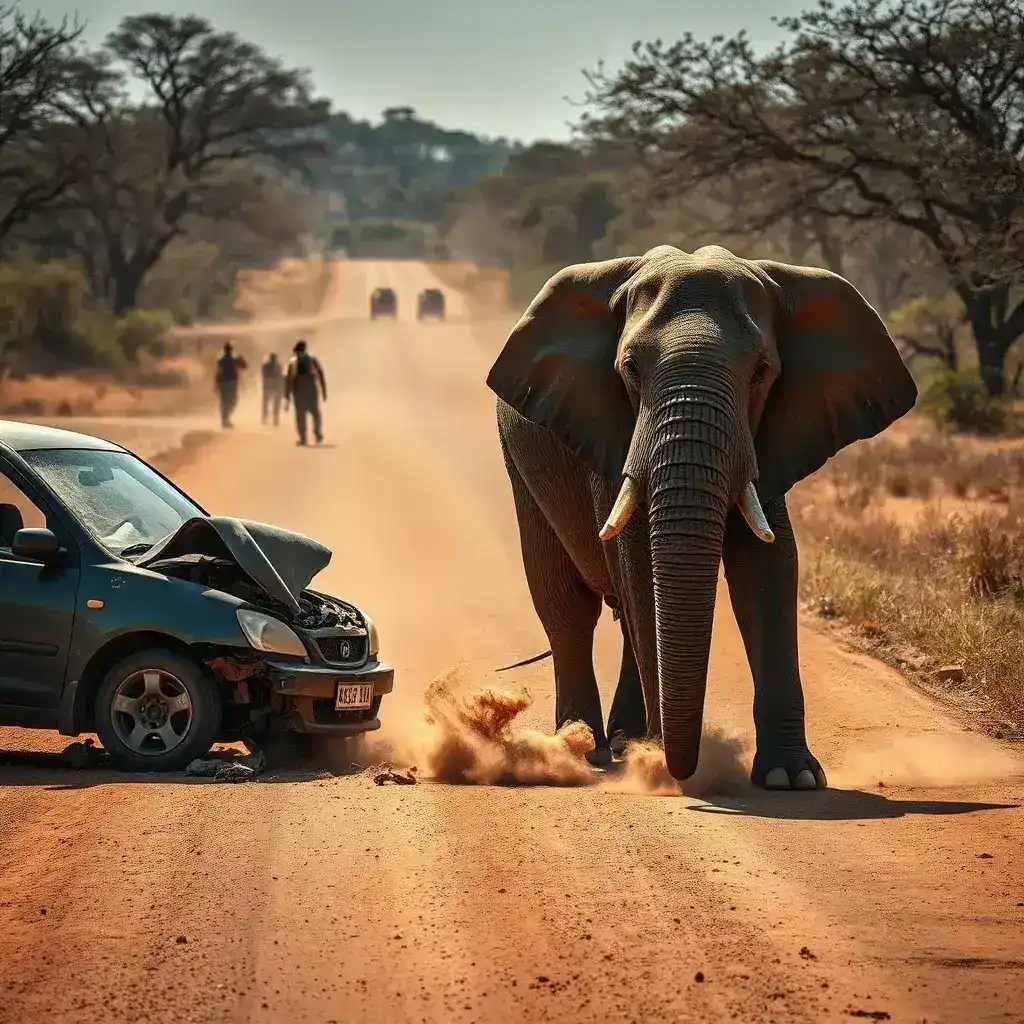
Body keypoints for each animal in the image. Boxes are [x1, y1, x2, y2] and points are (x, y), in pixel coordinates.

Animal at [486, 244, 917, 788]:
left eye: (761, 372)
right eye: (629, 369)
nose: (682, 771)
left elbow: (769, 566)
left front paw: (790, 777)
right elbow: (639, 562)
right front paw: (659, 764)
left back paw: (624, 740)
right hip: (520, 461)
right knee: (566, 604)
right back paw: (586, 749)